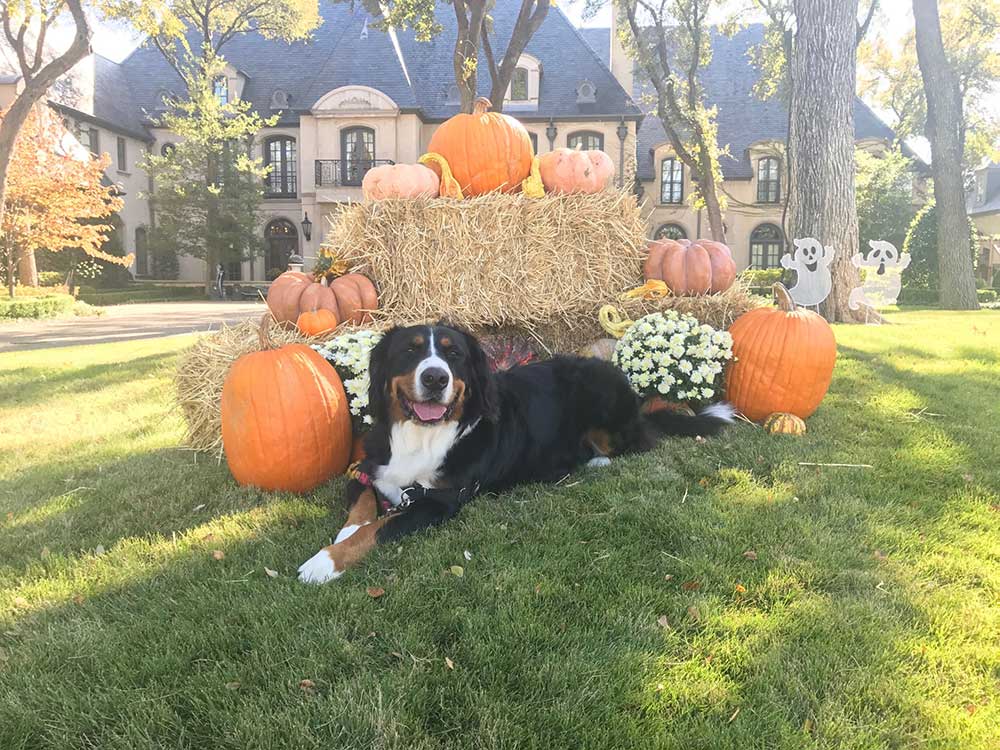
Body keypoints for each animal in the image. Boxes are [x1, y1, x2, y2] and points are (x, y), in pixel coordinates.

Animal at [292, 320, 732, 584]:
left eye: (454, 354)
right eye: (411, 351)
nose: (435, 378)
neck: (422, 436)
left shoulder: (438, 502)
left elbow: (379, 528)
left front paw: (323, 562)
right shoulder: (369, 465)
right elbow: (363, 505)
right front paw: (346, 530)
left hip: (602, 395)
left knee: (637, 444)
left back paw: (594, 459)